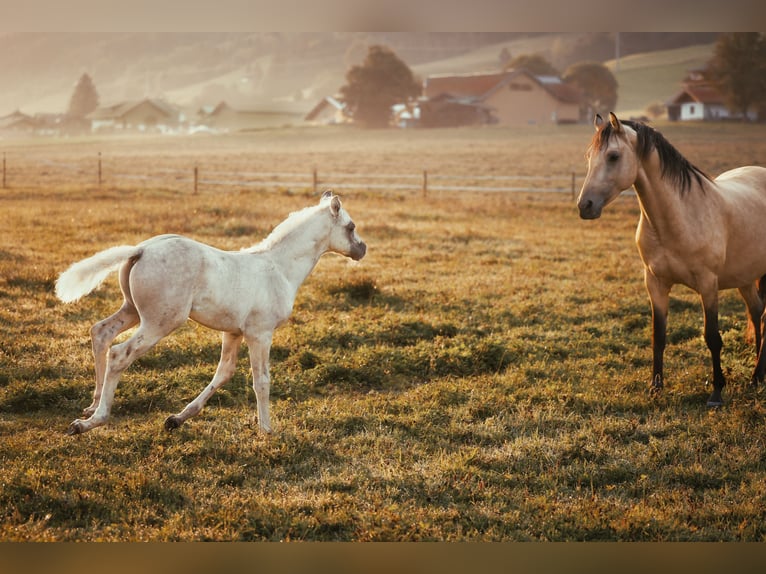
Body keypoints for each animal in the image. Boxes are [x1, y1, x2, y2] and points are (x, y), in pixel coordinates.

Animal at [55, 190, 366, 435]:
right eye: (350, 227)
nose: (362, 249)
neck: (278, 269)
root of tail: (140, 250)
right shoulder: (260, 334)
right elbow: (261, 380)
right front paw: (267, 429)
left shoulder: (233, 333)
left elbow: (223, 373)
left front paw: (177, 419)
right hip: (159, 322)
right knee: (120, 353)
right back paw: (91, 421)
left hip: (132, 310)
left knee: (101, 332)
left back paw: (91, 406)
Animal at [577, 112, 766, 407]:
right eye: (589, 156)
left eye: (613, 156)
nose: (585, 206)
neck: (678, 216)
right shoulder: (655, 283)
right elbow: (658, 336)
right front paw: (655, 387)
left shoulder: (708, 285)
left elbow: (712, 336)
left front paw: (716, 392)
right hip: (745, 277)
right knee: (757, 313)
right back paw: (758, 376)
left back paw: (757, 374)